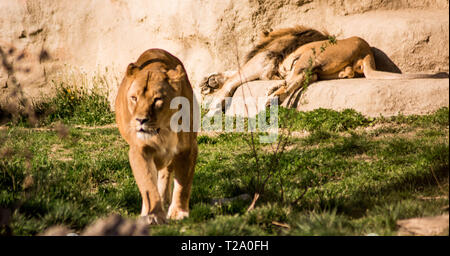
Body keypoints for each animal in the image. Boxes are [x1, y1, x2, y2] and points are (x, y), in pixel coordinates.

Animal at [115, 48, 196, 224]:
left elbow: (183, 184)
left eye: (158, 99)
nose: (140, 120)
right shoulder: (139, 150)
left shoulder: (187, 149)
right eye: (134, 98)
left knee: (166, 173)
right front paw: (154, 215)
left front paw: (179, 213)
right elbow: (147, 183)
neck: (163, 130)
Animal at [204, 26, 446, 113]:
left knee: (297, 79)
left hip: (311, 57)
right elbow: (232, 73)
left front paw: (215, 98)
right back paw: (275, 91)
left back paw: (273, 97)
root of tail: (366, 51)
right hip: (320, 68)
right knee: (301, 79)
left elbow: (234, 78)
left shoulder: (263, 60)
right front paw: (210, 81)